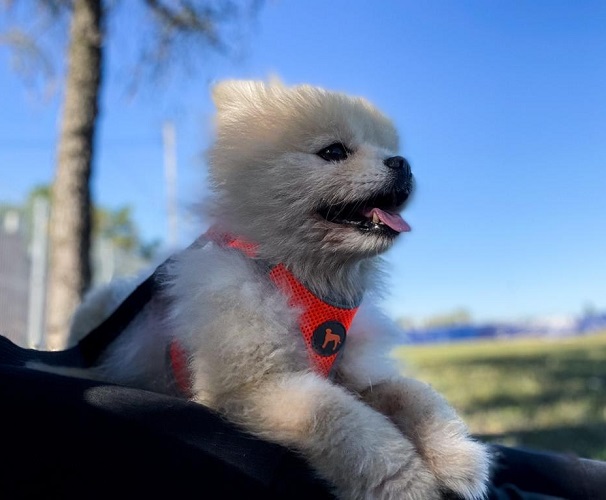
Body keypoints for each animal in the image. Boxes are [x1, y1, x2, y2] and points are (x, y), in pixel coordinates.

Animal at [64, 80, 491, 499]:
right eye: (334, 152)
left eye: (390, 150)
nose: (401, 162)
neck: (305, 278)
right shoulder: (254, 386)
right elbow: (346, 422)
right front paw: (406, 482)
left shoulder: (352, 375)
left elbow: (414, 394)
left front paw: (458, 455)